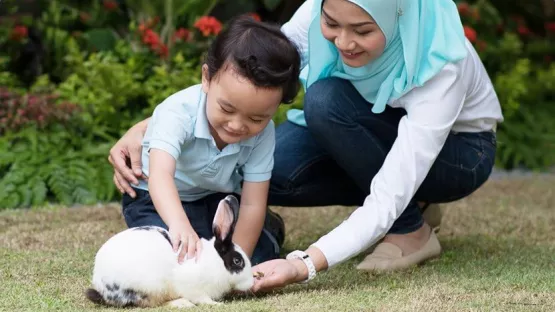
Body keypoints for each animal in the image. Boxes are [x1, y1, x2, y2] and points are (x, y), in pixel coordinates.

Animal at [84, 194, 254, 308]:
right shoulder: (193, 287)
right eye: (237, 261)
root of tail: (100, 284)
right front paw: (216, 305)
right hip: (152, 287)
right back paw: (183, 303)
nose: (251, 283)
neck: (214, 262)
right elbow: (201, 298)